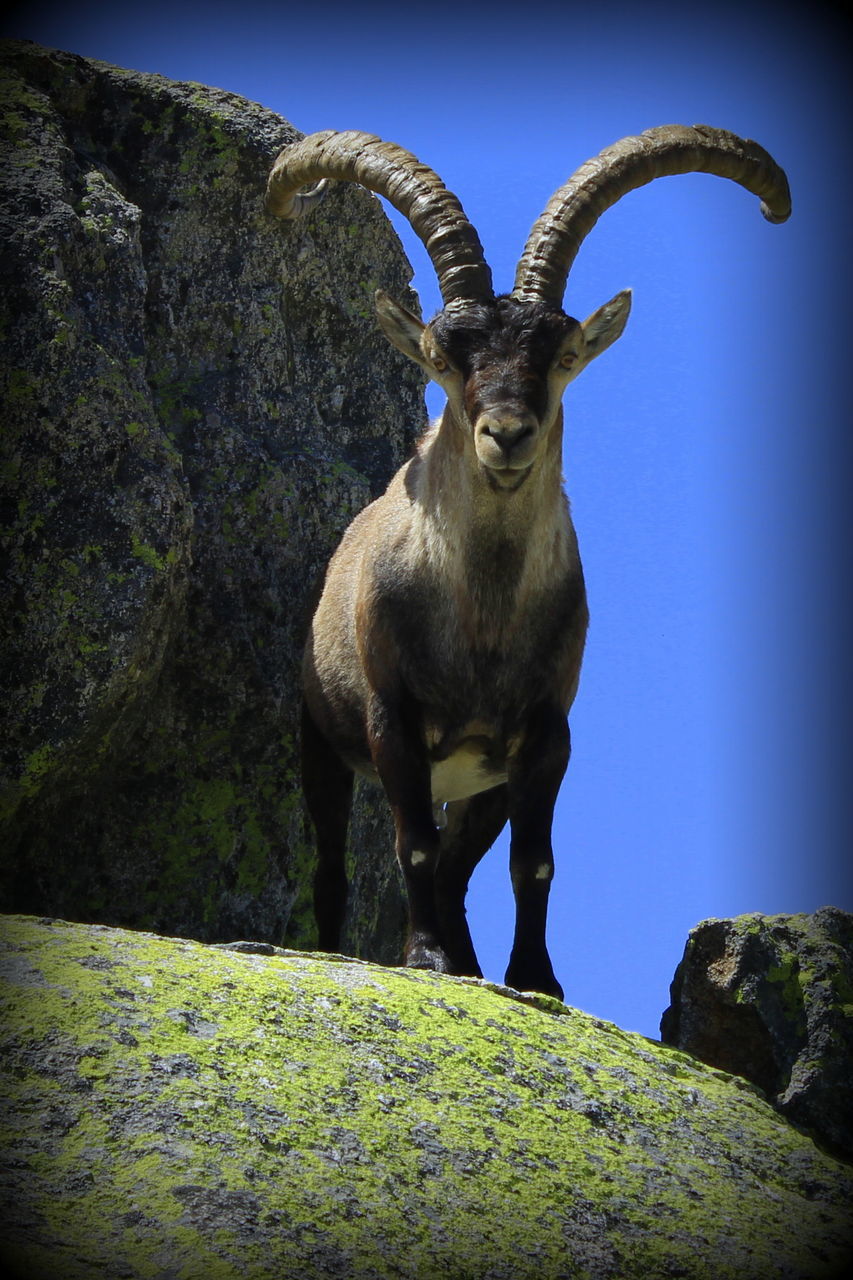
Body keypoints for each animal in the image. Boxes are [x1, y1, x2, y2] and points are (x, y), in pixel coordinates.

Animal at [263, 122, 783, 998]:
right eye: (442, 356)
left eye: (563, 352)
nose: (506, 435)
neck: (482, 621)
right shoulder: (393, 720)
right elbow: (411, 843)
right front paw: (424, 958)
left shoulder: (541, 735)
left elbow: (533, 863)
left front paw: (536, 979)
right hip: (320, 740)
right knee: (336, 866)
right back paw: (350, 947)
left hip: (482, 786)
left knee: (457, 872)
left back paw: (473, 965)